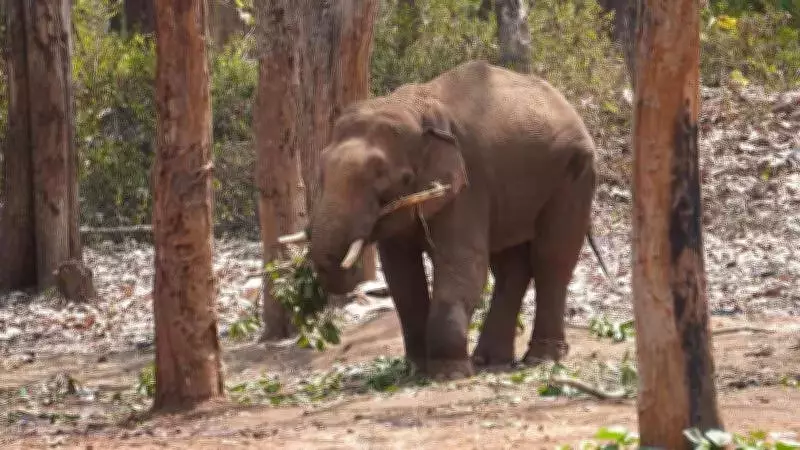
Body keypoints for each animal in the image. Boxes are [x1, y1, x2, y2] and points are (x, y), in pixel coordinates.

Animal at [280, 60, 609, 380]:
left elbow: (462, 264)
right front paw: (416, 368)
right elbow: (401, 275)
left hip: (573, 177)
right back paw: (490, 360)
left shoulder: (467, 186)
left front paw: (448, 372)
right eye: (322, 171)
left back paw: (541, 358)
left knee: (550, 259)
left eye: (397, 180)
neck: (413, 107)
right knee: (510, 267)